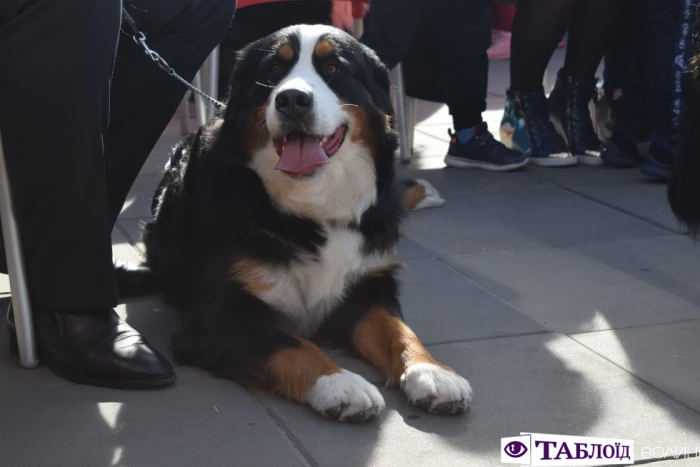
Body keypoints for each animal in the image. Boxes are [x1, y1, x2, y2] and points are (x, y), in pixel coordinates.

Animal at [144, 23, 470, 422]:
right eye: (272, 70)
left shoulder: (366, 285)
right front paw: (340, 383)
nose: (292, 100)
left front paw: (433, 372)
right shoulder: (216, 315)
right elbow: (291, 344)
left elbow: (399, 330)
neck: (314, 201)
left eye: (333, 68)